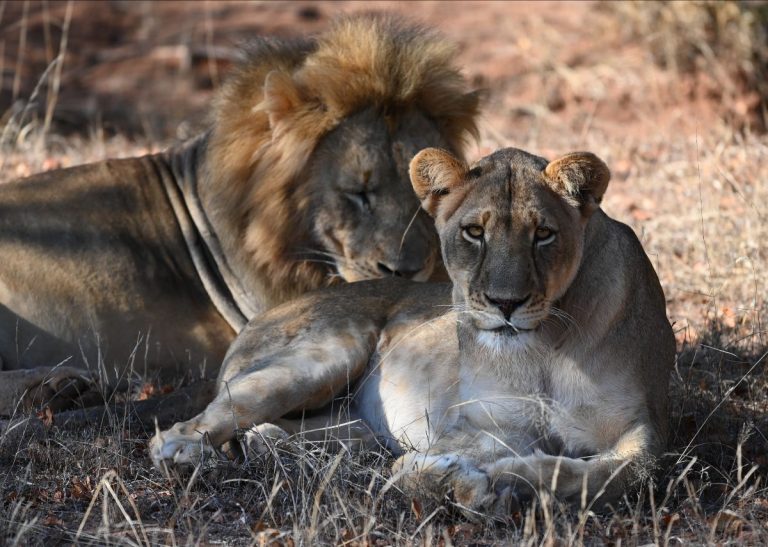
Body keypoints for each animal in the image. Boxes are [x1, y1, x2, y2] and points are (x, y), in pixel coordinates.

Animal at [150, 146, 675, 515]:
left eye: (543, 234)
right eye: (474, 233)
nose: (506, 303)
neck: (542, 348)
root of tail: (255, 321)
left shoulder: (643, 430)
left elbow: (619, 476)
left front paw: (509, 481)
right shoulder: (483, 425)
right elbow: (410, 473)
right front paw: (468, 482)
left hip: (353, 425)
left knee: (271, 432)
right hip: (327, 353)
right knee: (201, 422)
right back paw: (185, 451)